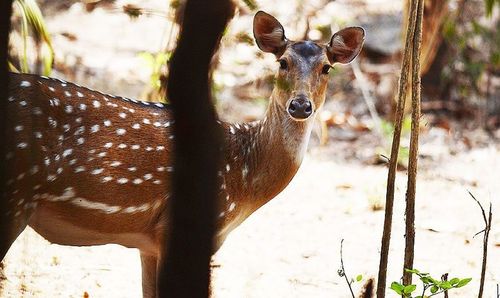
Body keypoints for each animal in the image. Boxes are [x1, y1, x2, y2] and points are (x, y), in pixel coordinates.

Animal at [1, 10, 366, 296]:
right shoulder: (179, 231)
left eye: (326, 68)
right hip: (14, 195)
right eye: (283, 62)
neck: (243, 180)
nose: (300, 105)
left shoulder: (148, 243)